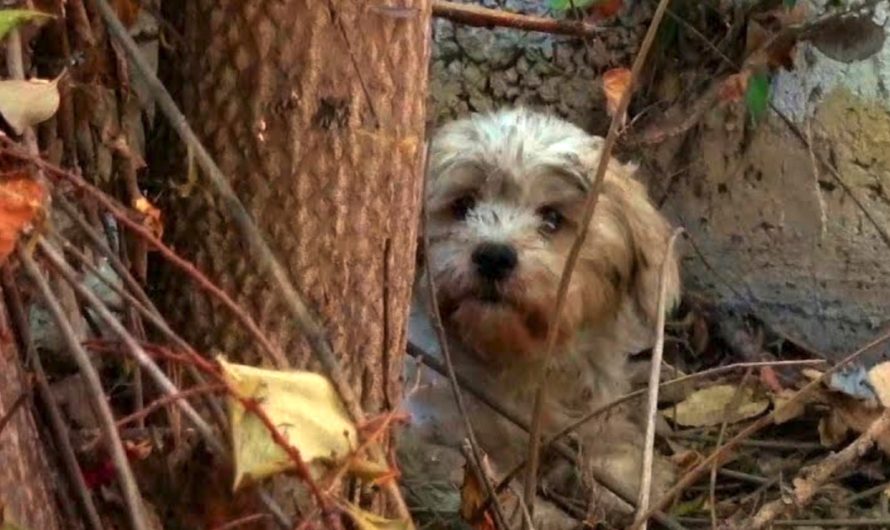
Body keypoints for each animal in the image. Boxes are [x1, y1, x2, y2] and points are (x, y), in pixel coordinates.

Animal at [402, 106, 680, 524]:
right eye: (463, 206)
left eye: (552, 218)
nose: (494, 255)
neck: (516, 364)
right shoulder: (430, 436)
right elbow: (490, 490)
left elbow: (603, 438)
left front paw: (627, 477)